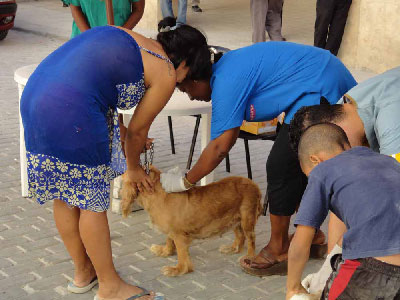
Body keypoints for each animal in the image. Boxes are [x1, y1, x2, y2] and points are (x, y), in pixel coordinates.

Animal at [121, 166, 262, 276]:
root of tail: (254, 185)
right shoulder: (172, 230)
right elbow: (169, 241)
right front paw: (164, 251)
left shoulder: (179, 235)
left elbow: (182, 257)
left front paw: (177, 270)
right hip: (234, 219)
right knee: (240, 236)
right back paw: (232, 249)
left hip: (246, 218)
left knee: (251, 239)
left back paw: (249, 257)